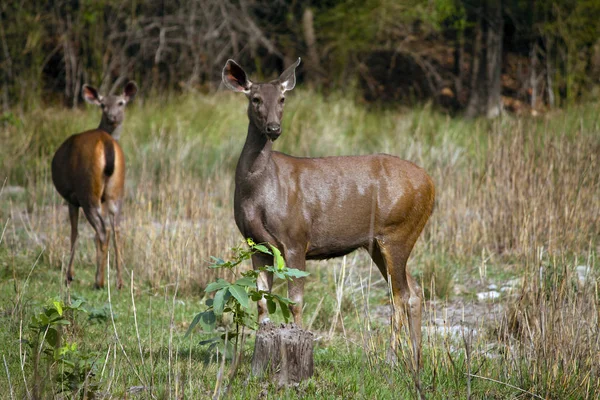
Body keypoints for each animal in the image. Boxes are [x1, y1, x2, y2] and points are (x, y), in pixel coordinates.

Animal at [51, 81, 138, 290]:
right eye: (103, 104)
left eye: (121, 103)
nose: (112, 117)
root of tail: (107, 142)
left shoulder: (71, 198)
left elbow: (74, 233)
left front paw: (69, 275)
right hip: (116, 192)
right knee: (116, 230)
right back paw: (119, 282)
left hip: (87, 191)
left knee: (102, 230)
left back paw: (99, 281)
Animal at [223, 57, 434, 368]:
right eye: (255, 98)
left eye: (283, 99)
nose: (274, 128)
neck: (258, 191)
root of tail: (431, 184)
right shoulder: (255, 243)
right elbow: (261, 299)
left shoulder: (296, 237)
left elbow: (296, 301)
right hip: (378, 242)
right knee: (415, 291)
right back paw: (416, 360)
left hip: (398, 232)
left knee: (400, 296)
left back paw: (391, 360)